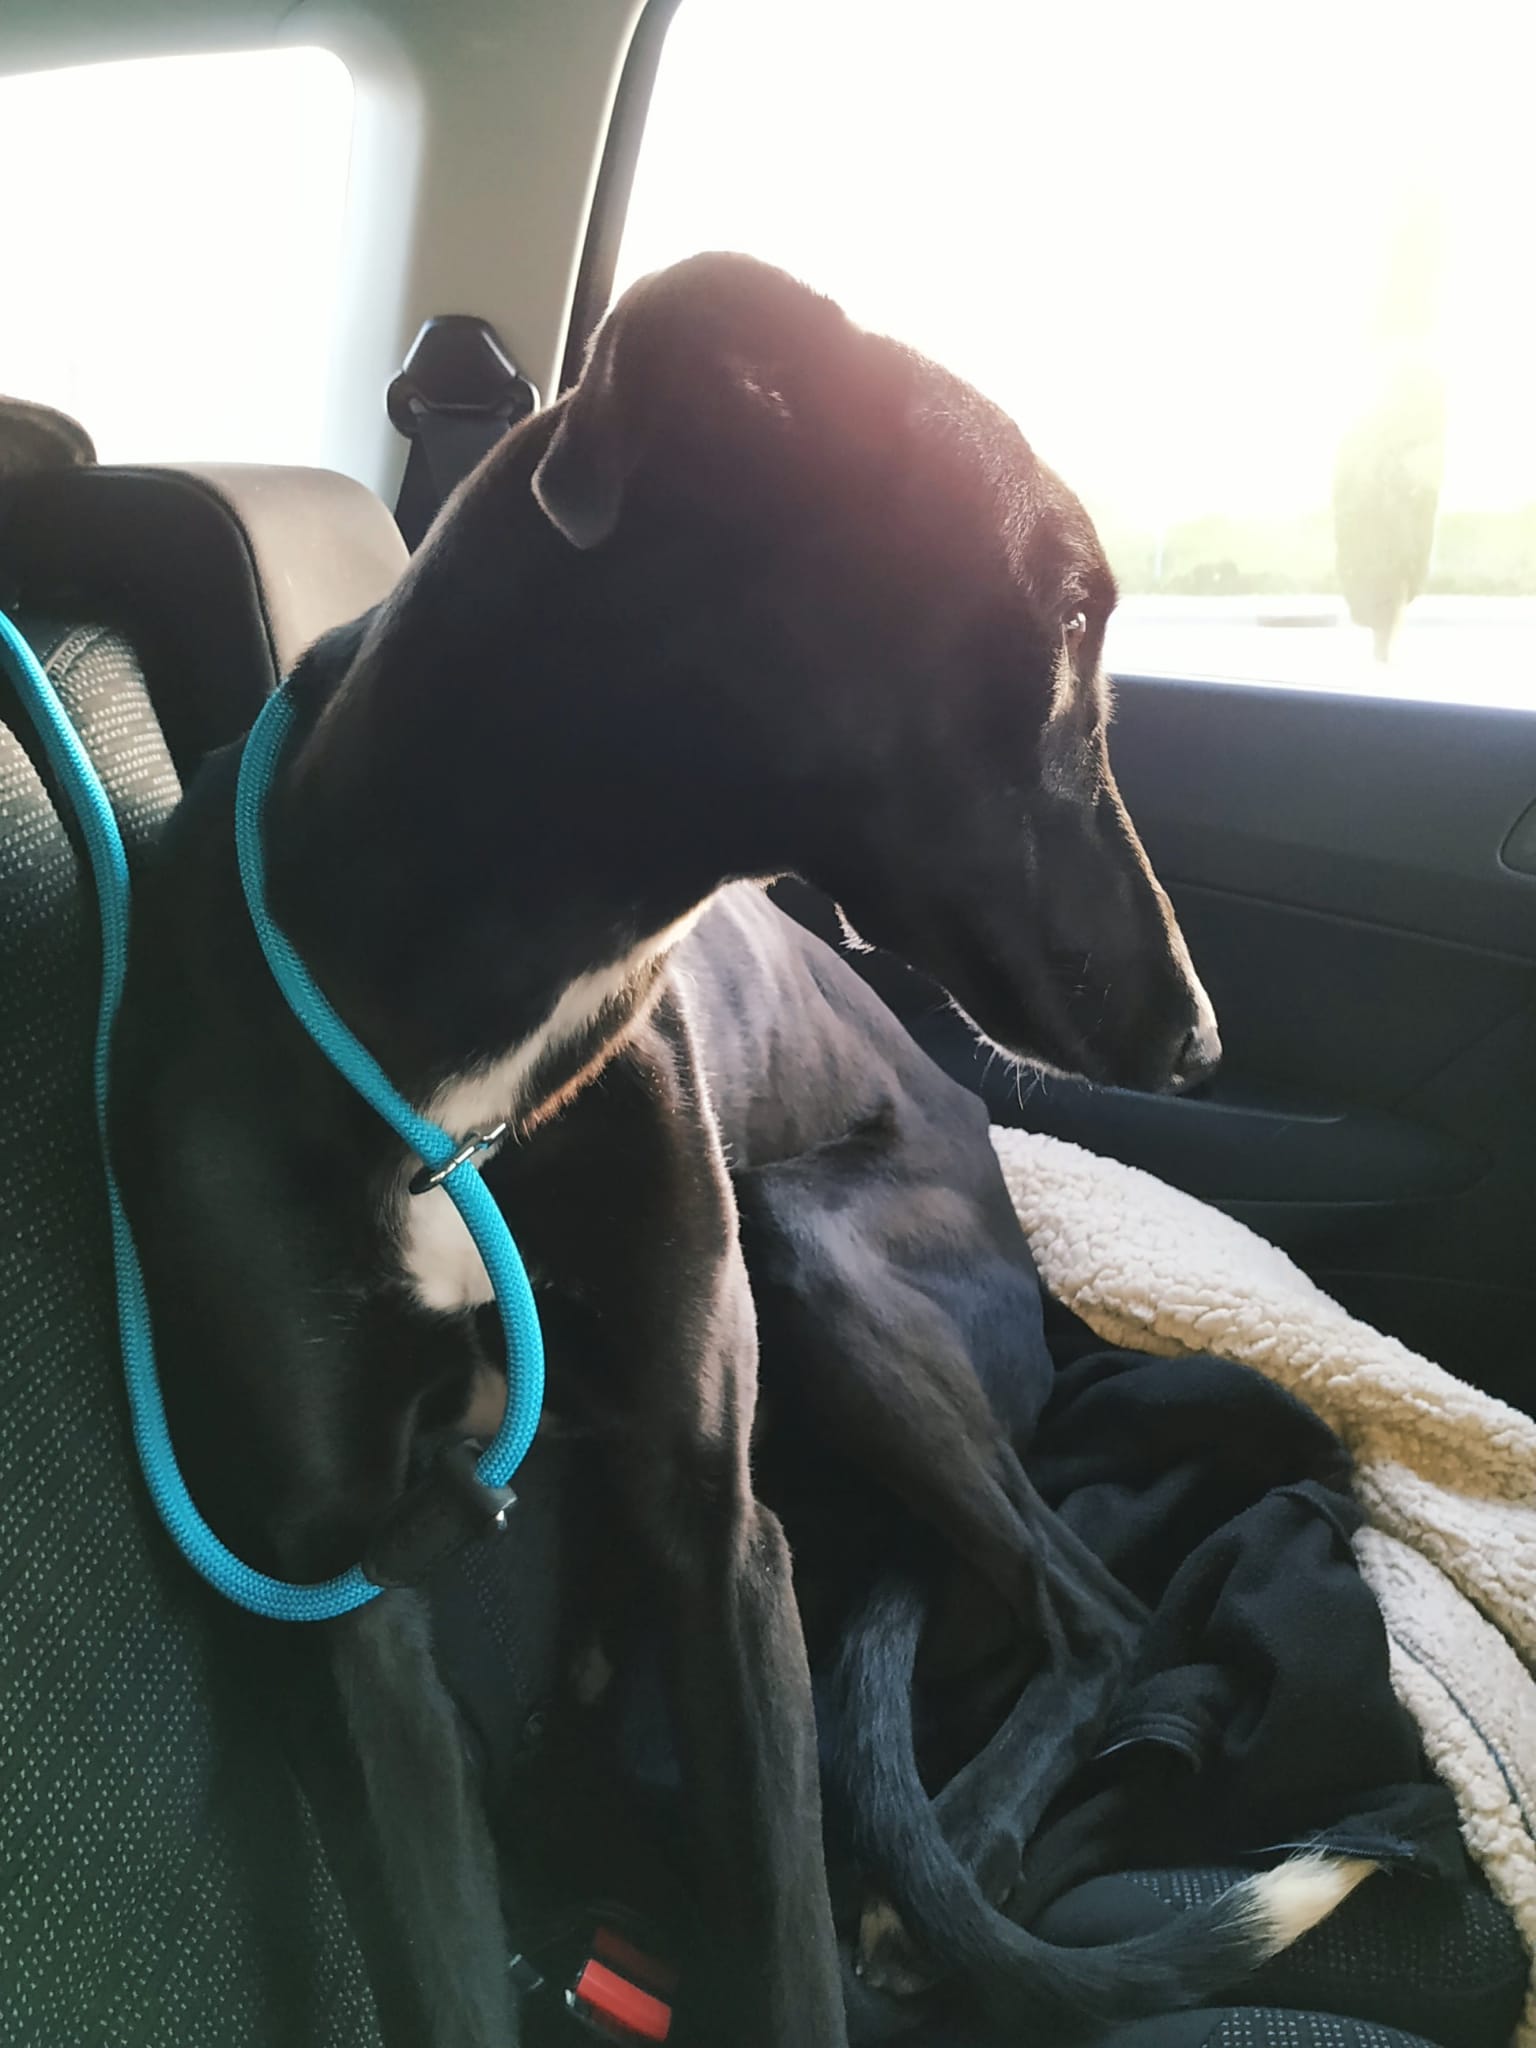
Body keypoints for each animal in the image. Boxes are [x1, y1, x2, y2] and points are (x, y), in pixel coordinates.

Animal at [112, 254, 1365, 2046]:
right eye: (1065, 613)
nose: (1193, 1044)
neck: (474, 1067)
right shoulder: (343, 1588)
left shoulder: (721, 1538)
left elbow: (779, 1937)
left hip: (807, 1259)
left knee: (1098, 1611)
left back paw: (946, 1862)